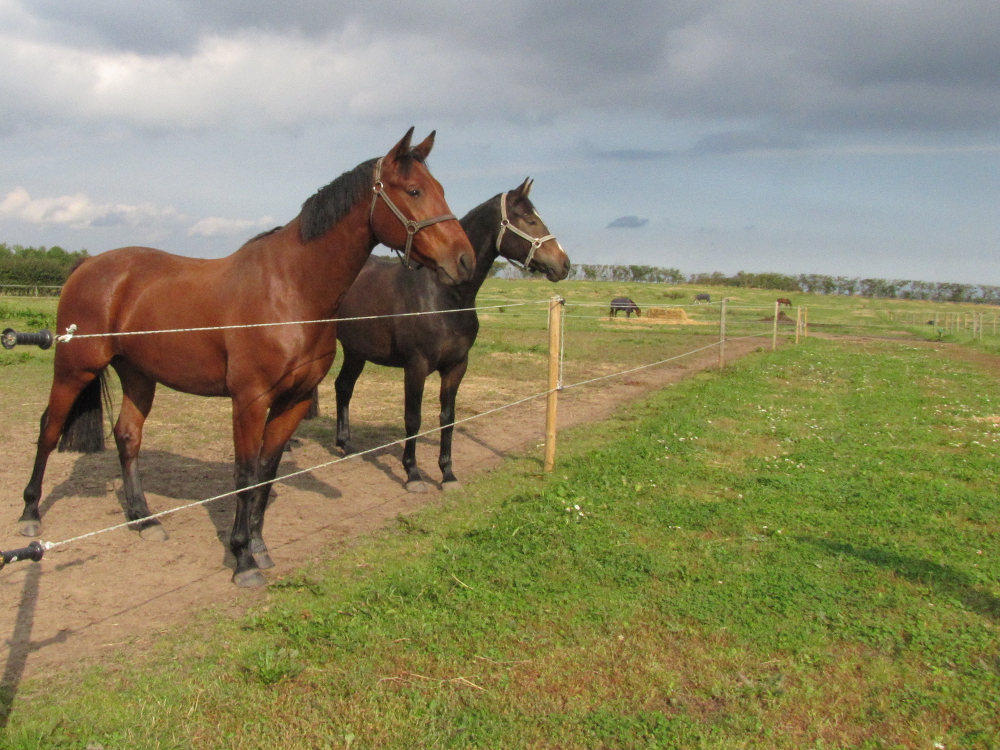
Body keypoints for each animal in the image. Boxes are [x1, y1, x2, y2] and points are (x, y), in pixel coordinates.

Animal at [20, 128, 476, 588]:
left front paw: (258, 544)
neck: (290, 289)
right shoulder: (250, 400)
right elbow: (243, 473)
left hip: (138, 375)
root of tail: (88, 265)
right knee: (48, 429)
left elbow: (267, 470)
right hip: (74, 369)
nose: (465, 260)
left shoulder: (293, 401)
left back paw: (144, 519)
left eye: (441, 189)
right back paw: (30, 514)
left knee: (127, 437)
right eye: (414, 191)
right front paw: (241, 559)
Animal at [332, 177, 572, 494]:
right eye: (529, 219)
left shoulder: (457, 366)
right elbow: (413, 418)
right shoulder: (416, 366)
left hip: (356, 351)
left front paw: (447, 473)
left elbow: (447, 418)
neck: (443, 296)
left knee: (344, 387)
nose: (564, 264)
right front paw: (413, 475)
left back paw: (345, 444)